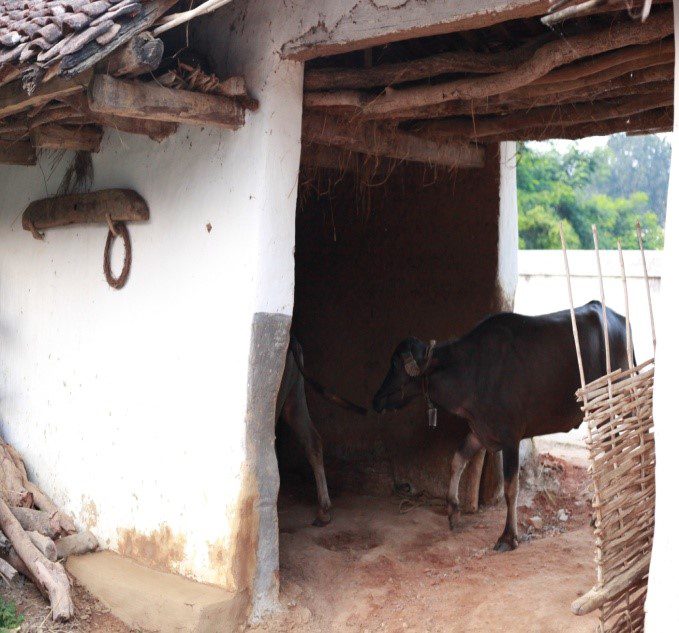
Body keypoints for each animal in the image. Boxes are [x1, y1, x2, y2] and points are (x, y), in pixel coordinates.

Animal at [372, 298, 632, 552]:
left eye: (395, 365)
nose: (376, 400)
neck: (473, 370)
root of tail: (621, 322)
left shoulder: (510, 438)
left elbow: (510, 487)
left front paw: (508, 536)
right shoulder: (481, 430)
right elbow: (456, 460)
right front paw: (453, 510)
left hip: (609, 408)